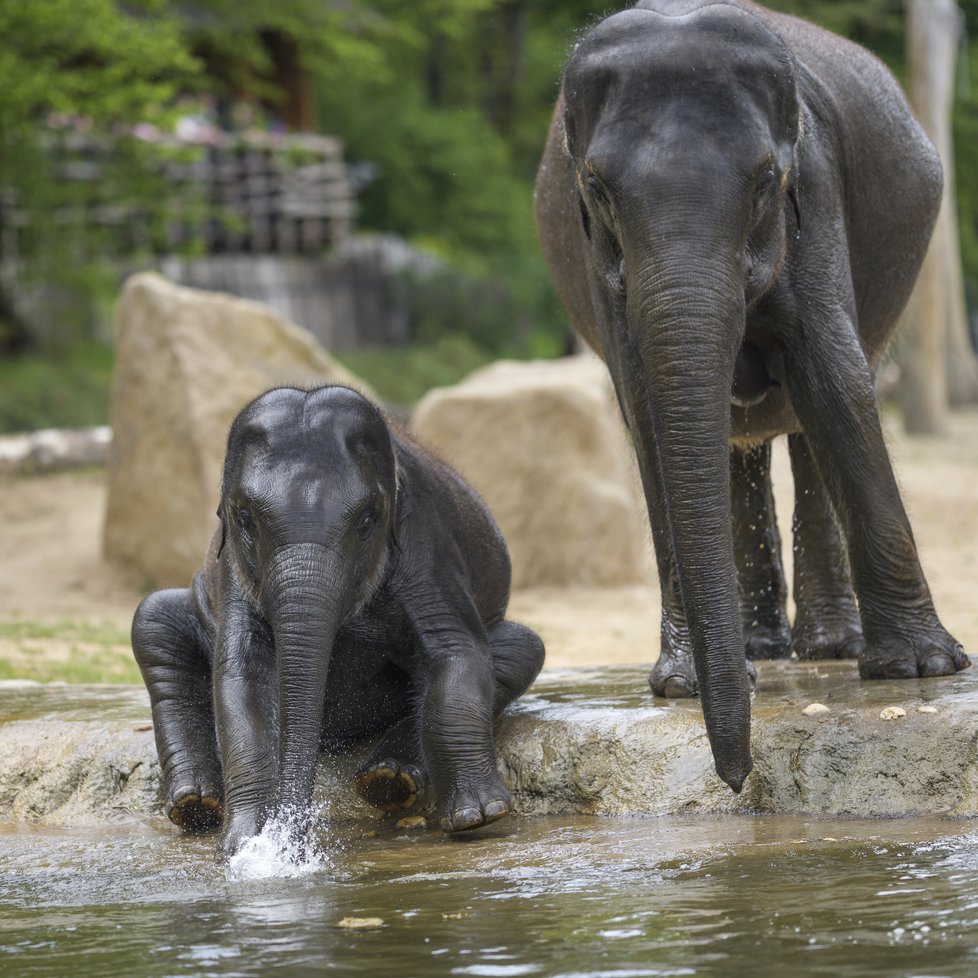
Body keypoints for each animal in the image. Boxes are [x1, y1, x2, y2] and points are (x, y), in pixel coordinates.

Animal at [131, 384, 544, 856]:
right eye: (244, 518)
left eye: (367, 519)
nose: (289, 841)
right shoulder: (233, 566)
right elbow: (243, 675)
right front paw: (246, 845)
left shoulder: (423, 533)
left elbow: (455, 650)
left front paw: (479, 818)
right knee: (153, 621)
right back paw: (193, 804)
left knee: (522, 647)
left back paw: (389, 780)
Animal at [532, 0, 968, 788]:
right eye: (596, 187)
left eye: (767, 178)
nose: (735, 778)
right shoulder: (598, 258)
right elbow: (648, 408)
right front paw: (686, 685)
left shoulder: (815, 188)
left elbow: (833, 376)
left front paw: (921, 669)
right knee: (735, 439)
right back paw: (763, 650)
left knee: (805, 419)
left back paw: (828, 650)